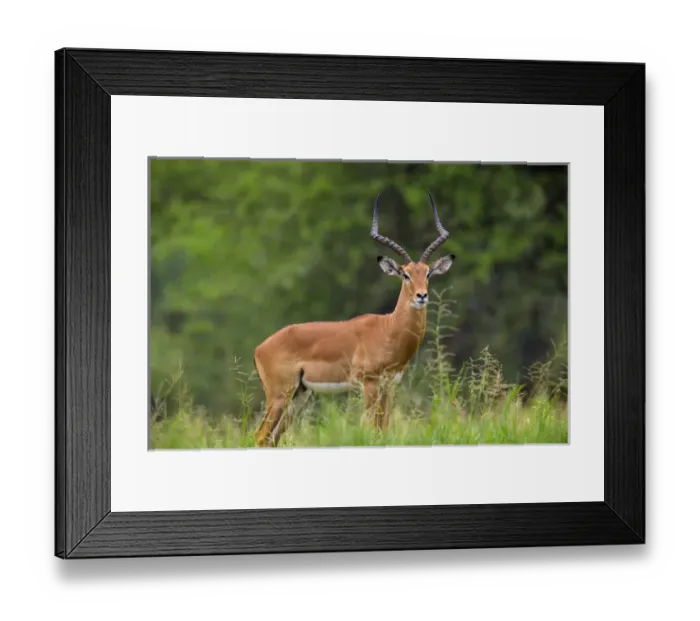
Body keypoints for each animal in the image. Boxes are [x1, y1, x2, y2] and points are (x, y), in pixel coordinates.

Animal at [253, 192, 455, 447]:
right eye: (405, 274)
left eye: (428, 273)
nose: (422, 296)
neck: (389, 330)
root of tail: (260, 348)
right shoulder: (369, 383)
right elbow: (370, 429)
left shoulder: (390, 385)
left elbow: (384, 429)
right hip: (280, 395)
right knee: (260, 436)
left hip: (299, 396)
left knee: (272, 439)